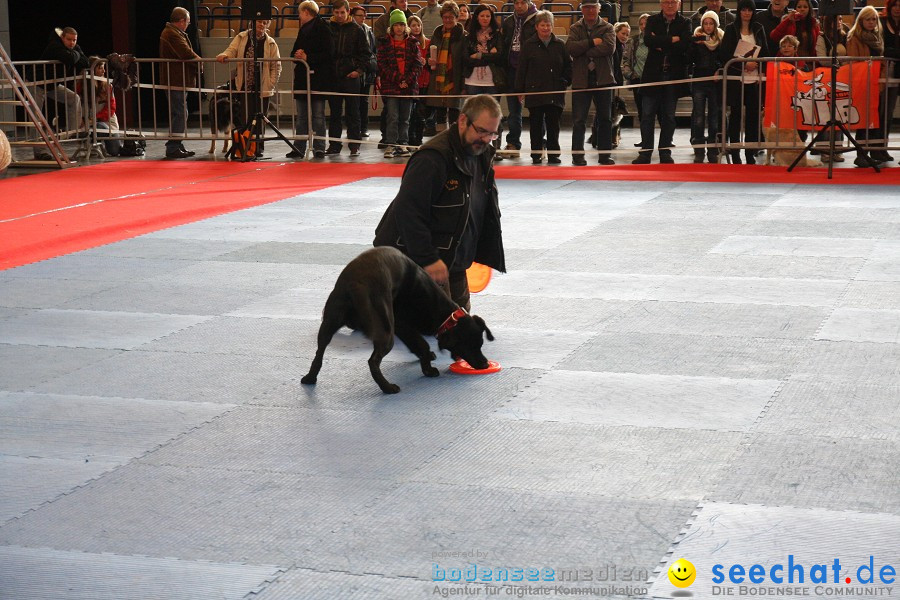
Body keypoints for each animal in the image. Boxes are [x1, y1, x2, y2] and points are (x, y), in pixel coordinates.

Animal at [304, 246, 500, 392]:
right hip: (385, 331)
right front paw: (428, 369)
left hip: (329, 323)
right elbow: (422, 344)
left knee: (319, 353)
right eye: (469, 346)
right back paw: (387, 388)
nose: (485, 364)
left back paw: (310, 377)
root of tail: (356, 283)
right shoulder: (402, 324)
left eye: (481, 344)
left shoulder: (403, 328)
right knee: (373, 361)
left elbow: (417, 345)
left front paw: (426, 358)